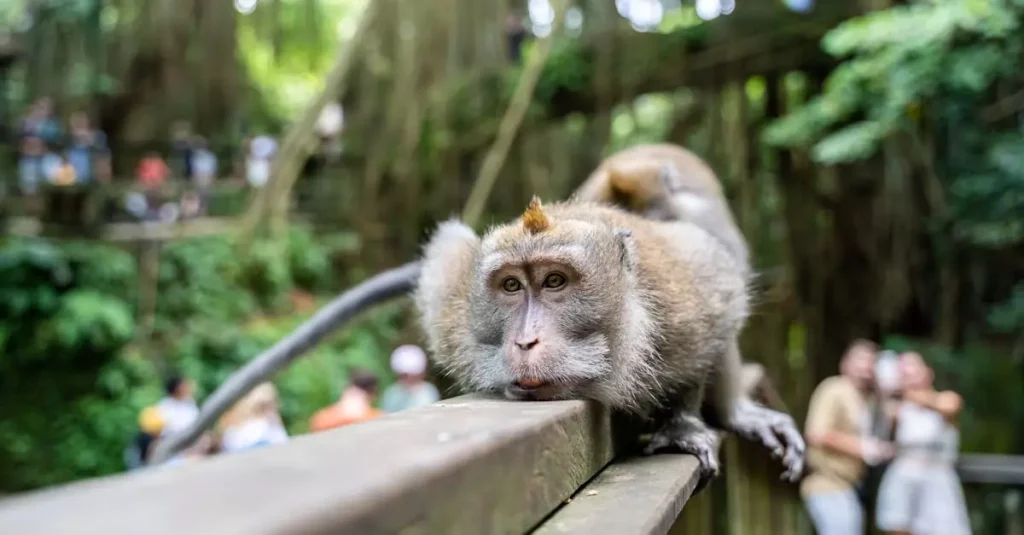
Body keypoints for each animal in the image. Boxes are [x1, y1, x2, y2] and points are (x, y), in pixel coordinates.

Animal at [414, 143, 804, 492]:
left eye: (554, 281)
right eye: (511, 285)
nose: (525, 341)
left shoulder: (686, 294)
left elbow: (716, 314)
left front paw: (682, 423)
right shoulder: (451, 307)